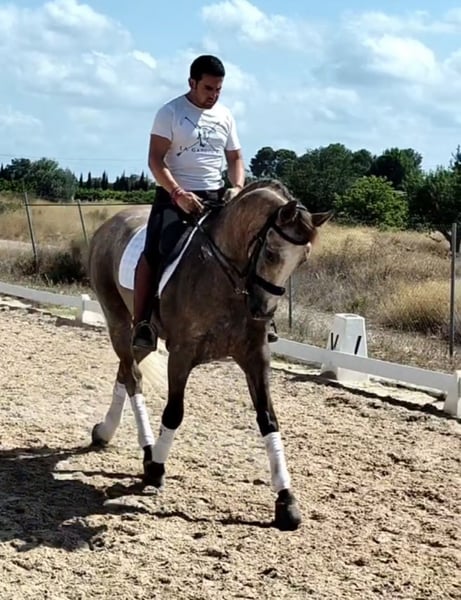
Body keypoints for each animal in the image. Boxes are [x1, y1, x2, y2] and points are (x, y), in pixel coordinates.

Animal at [87, 179, 332, 531]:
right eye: (272, 253)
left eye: (303, 260)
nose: (262, 311)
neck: (228, 276)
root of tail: (111, 222)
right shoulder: (181, 354)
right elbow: (174, 413)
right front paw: (156, 469)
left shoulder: (256, 356)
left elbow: (268, 419)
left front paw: (286, 501)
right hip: (118, 320)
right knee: (132, 377)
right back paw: (145, 450)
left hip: (141, 339)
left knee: (126, 371)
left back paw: (106, 432)